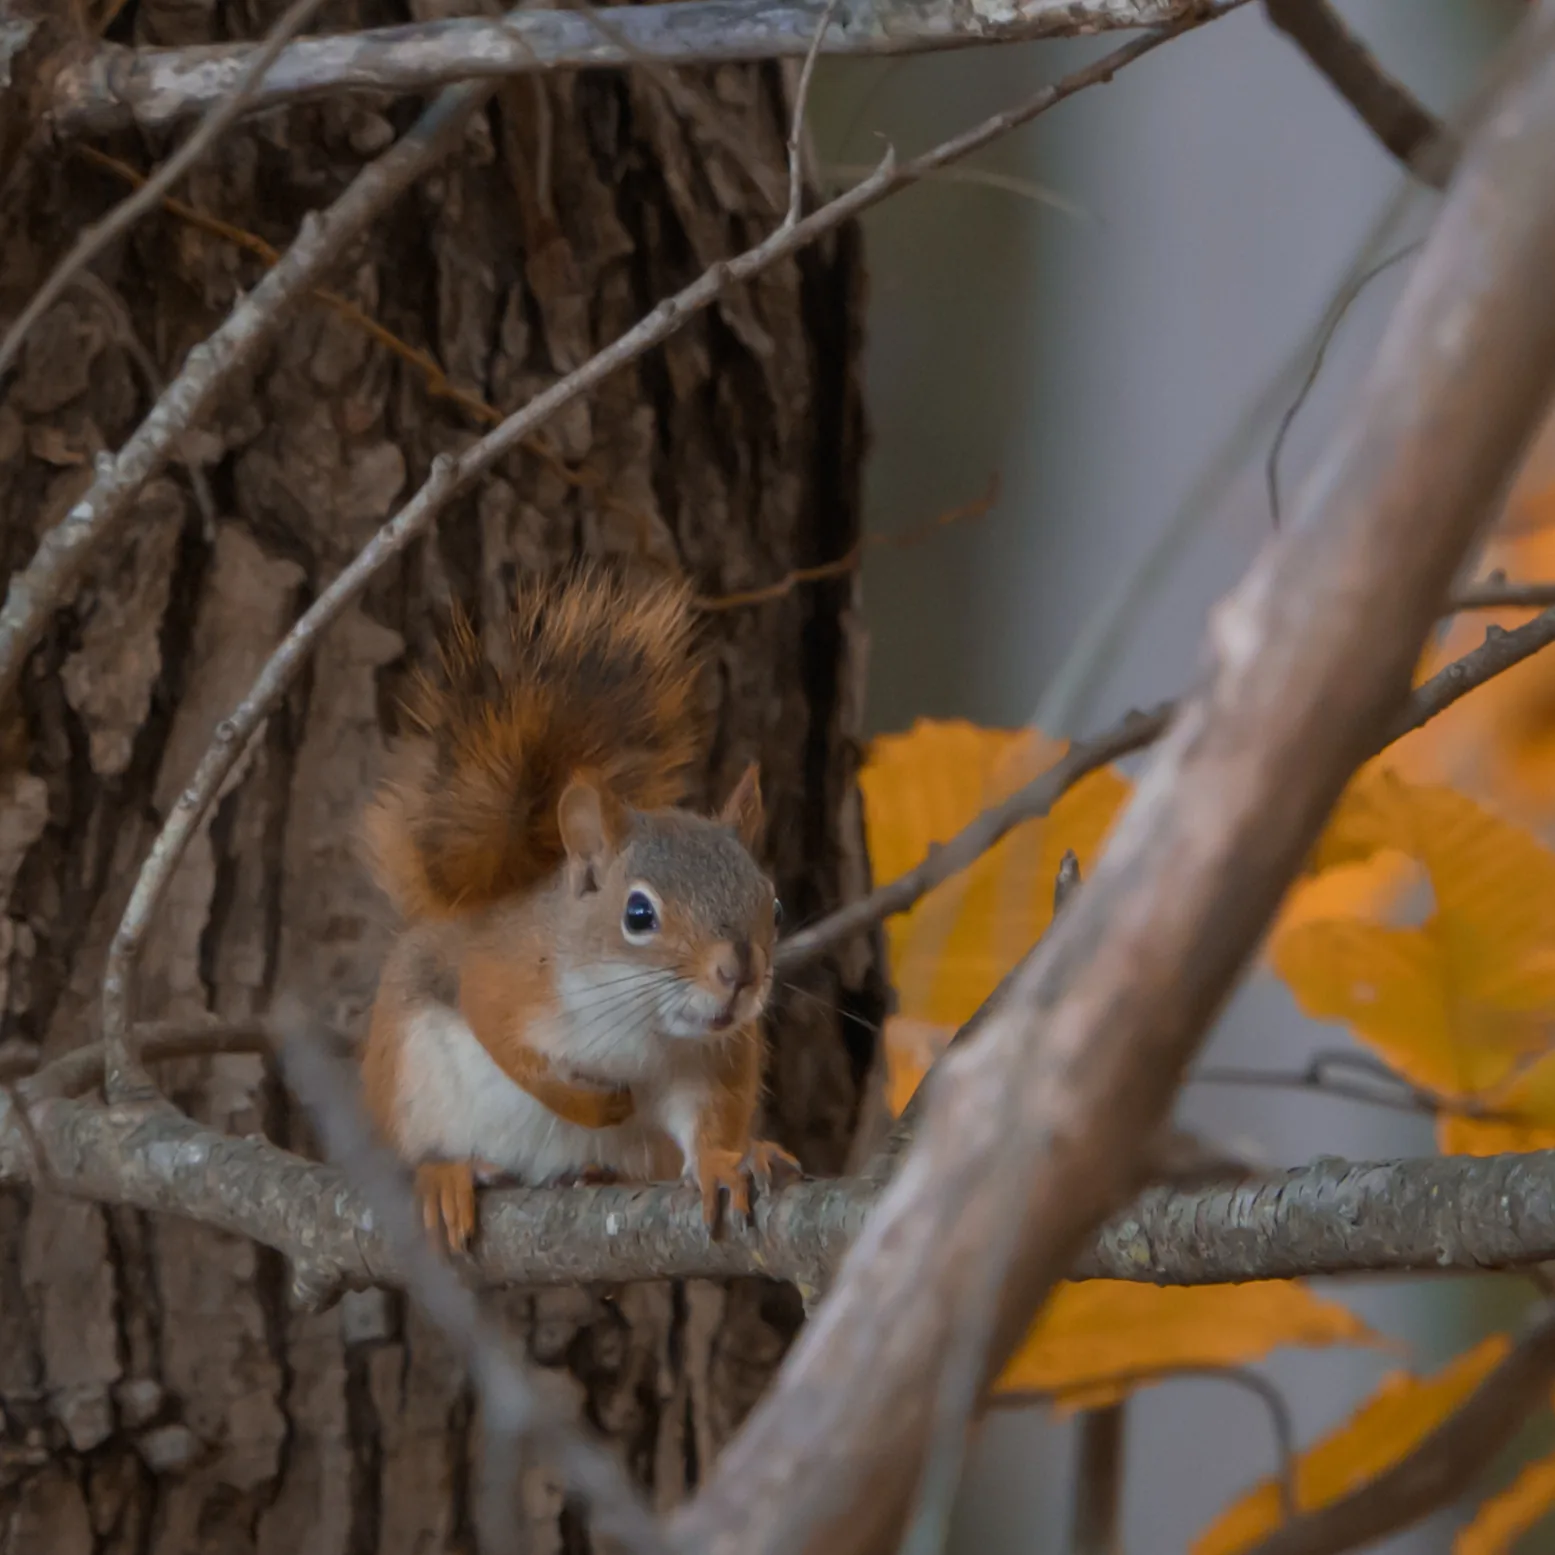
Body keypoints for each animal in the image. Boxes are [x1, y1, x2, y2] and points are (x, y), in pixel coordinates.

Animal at [358, 566, 798, 1253]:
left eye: (774, 907)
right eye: (638, 915)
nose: (739, 974)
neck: (638, 1020)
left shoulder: (712, 1059)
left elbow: (709, 1124)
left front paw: (728, 1162)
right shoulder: (505, 977)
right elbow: (506, 1042)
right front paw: (594, 1107)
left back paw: (595, 1171)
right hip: (404, 1078)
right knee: (420, 1149)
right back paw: (446, 1176)